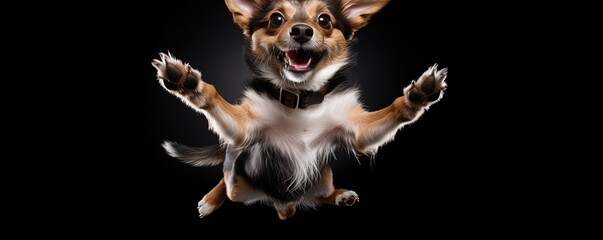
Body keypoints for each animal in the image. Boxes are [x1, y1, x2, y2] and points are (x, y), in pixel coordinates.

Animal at [153, 0, 446, 220]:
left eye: (325, 20)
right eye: (276, 19)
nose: (302, 31)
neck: (301, 97)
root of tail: (283, 203)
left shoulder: (359, 132)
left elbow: (393, 111)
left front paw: (417, 96)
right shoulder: (244, 128)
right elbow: (213, 99)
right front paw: (189, 84)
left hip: (325, 175)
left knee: (315, 196)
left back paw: (339, 196)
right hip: (237, 180)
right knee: (227, 175)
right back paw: (212, 200)